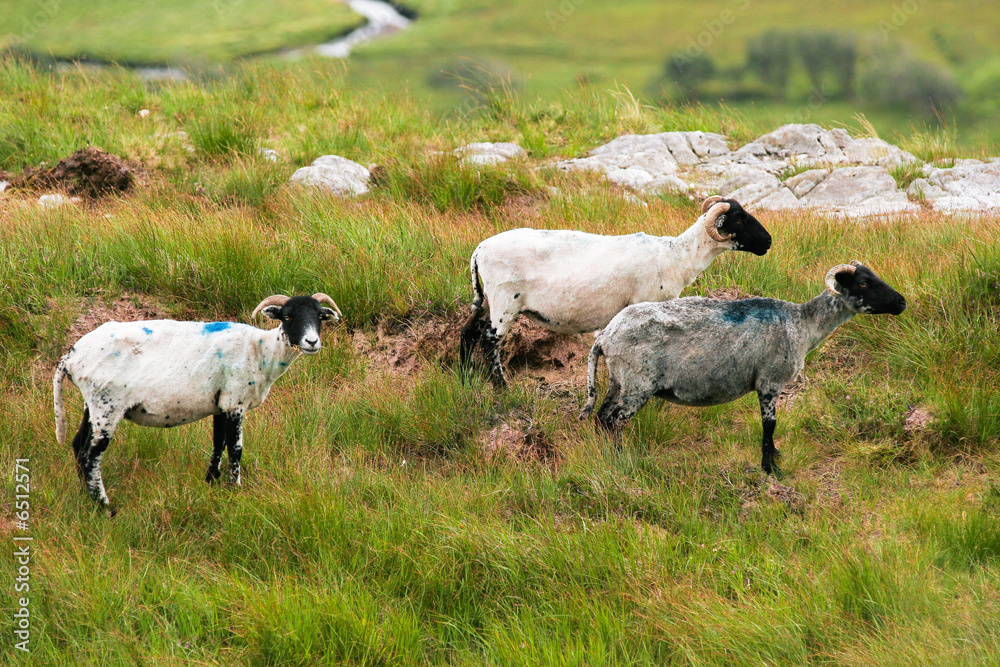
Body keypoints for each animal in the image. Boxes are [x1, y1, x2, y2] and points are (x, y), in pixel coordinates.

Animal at [53, 293, 341, 509]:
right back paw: (105, 507)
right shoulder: (235, 401)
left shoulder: (221, 403)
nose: (312, 342)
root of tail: (71, 357)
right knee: (91, 456)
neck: (261, 350)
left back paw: (85, 497)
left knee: (78, 445)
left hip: (91, 404)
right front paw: (235, 489)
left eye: (319, 316)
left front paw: (211, 483)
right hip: (107, 404)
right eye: (288, 316)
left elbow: (218, 444)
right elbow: (235, 449)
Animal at [460, 196, 772, 386]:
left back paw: (464, 376)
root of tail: (479, 250)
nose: (768, 241)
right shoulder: (643, 303)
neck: (675, 256)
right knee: (489, 343)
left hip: (486, 300)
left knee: (468, 333)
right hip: (505, 302)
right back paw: (502, 387)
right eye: (739, 219)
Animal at [580, 262, 906, 473]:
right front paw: (770, 468)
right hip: (637, 383)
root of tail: (605, 336)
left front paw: (775, 458)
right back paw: (620, 459)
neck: (802, 324)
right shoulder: (769, 381)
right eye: (863, 283)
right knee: (614, 422)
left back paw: (604, 455)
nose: (901, 302)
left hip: (618, 381)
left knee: (601, 418)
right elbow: (769, 424)